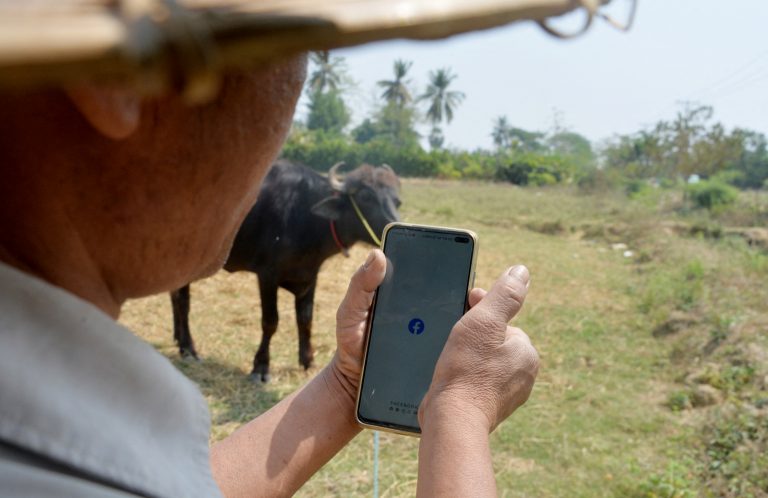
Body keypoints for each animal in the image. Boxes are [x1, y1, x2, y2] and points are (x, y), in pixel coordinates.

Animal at [170, 160, 402, 382]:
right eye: (365, 197)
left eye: (397, 200)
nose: (393, 222)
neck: (305, 217)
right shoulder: (267, 276)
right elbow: (270, 321)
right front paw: (261, 367)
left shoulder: (310, 277)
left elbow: (305, 319)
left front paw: (308, 360)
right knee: (183, 302)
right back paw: (189, 349)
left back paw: (178, 338)